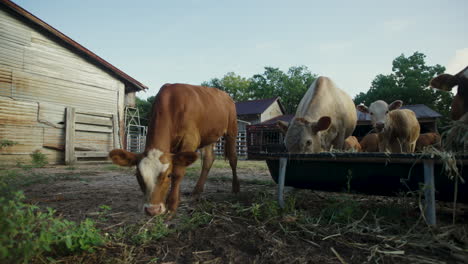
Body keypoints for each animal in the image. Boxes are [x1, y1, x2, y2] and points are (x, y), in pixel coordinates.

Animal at [108, 83, 239, 216]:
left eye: (168, 175)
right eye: (138, 175)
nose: (152, 210)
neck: (171, 103)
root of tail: (225, 95)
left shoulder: (190, 140)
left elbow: (178, 172)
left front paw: (172, 204)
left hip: (232, 129)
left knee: (233, 158)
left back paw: (236, 188)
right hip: (208, 136)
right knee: (208, 160)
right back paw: (197, 191)